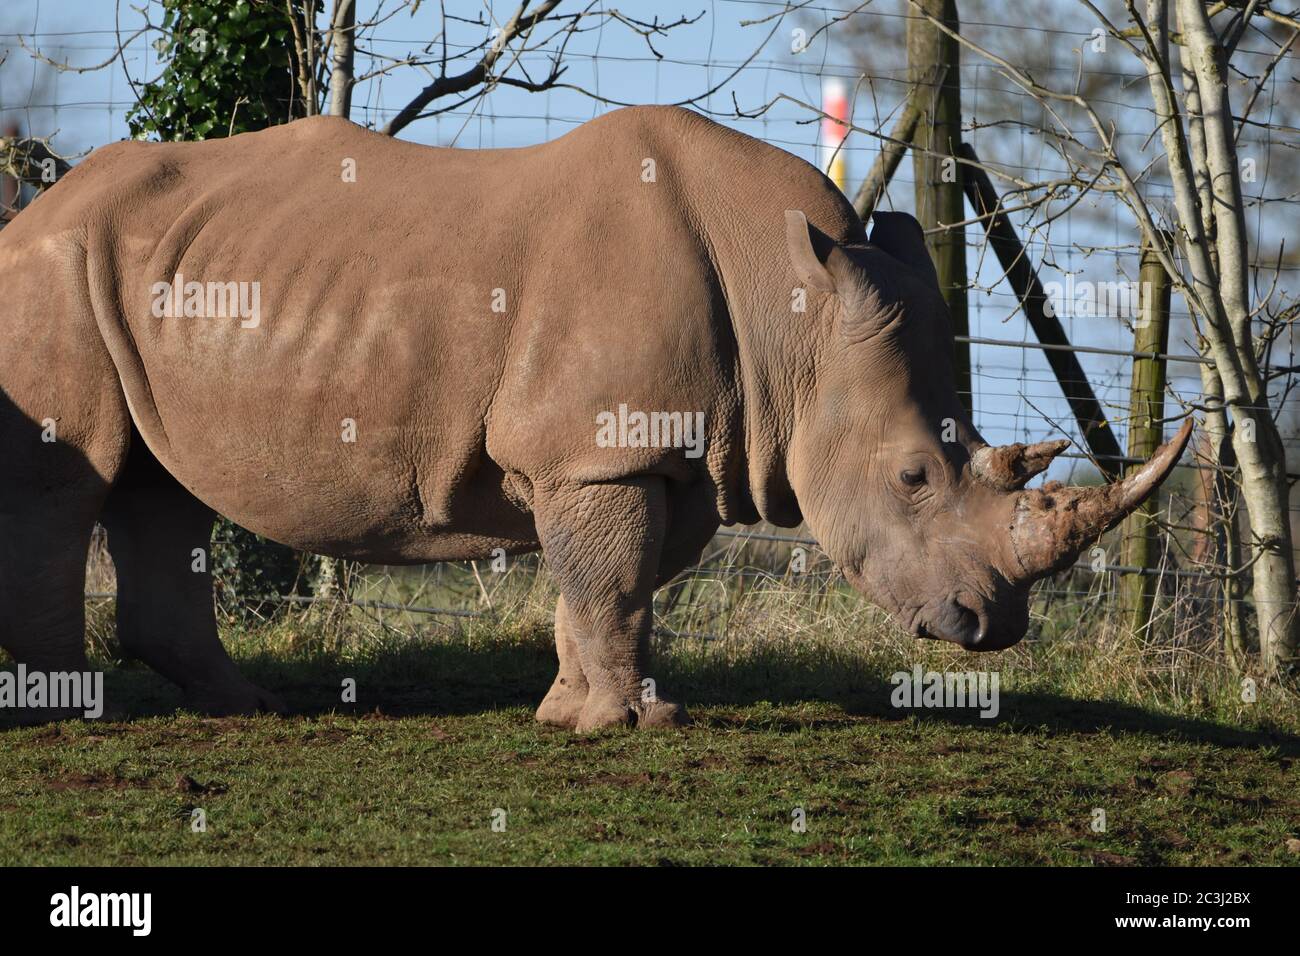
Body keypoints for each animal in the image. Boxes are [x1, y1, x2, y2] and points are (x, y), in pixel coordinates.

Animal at [0, 106, 1190, 729]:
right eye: (910, 478)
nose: (992, 627)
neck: (794, 317)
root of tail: (37, 205)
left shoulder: (664, 452)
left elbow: (612, 585)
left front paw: (571, 713)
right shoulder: (595, 453)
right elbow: (612, 578)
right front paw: (637, 725)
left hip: (149, 275)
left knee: (159, 485)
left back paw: (240, 706)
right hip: (57, 264)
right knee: (72, 476)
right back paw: (67, 708)